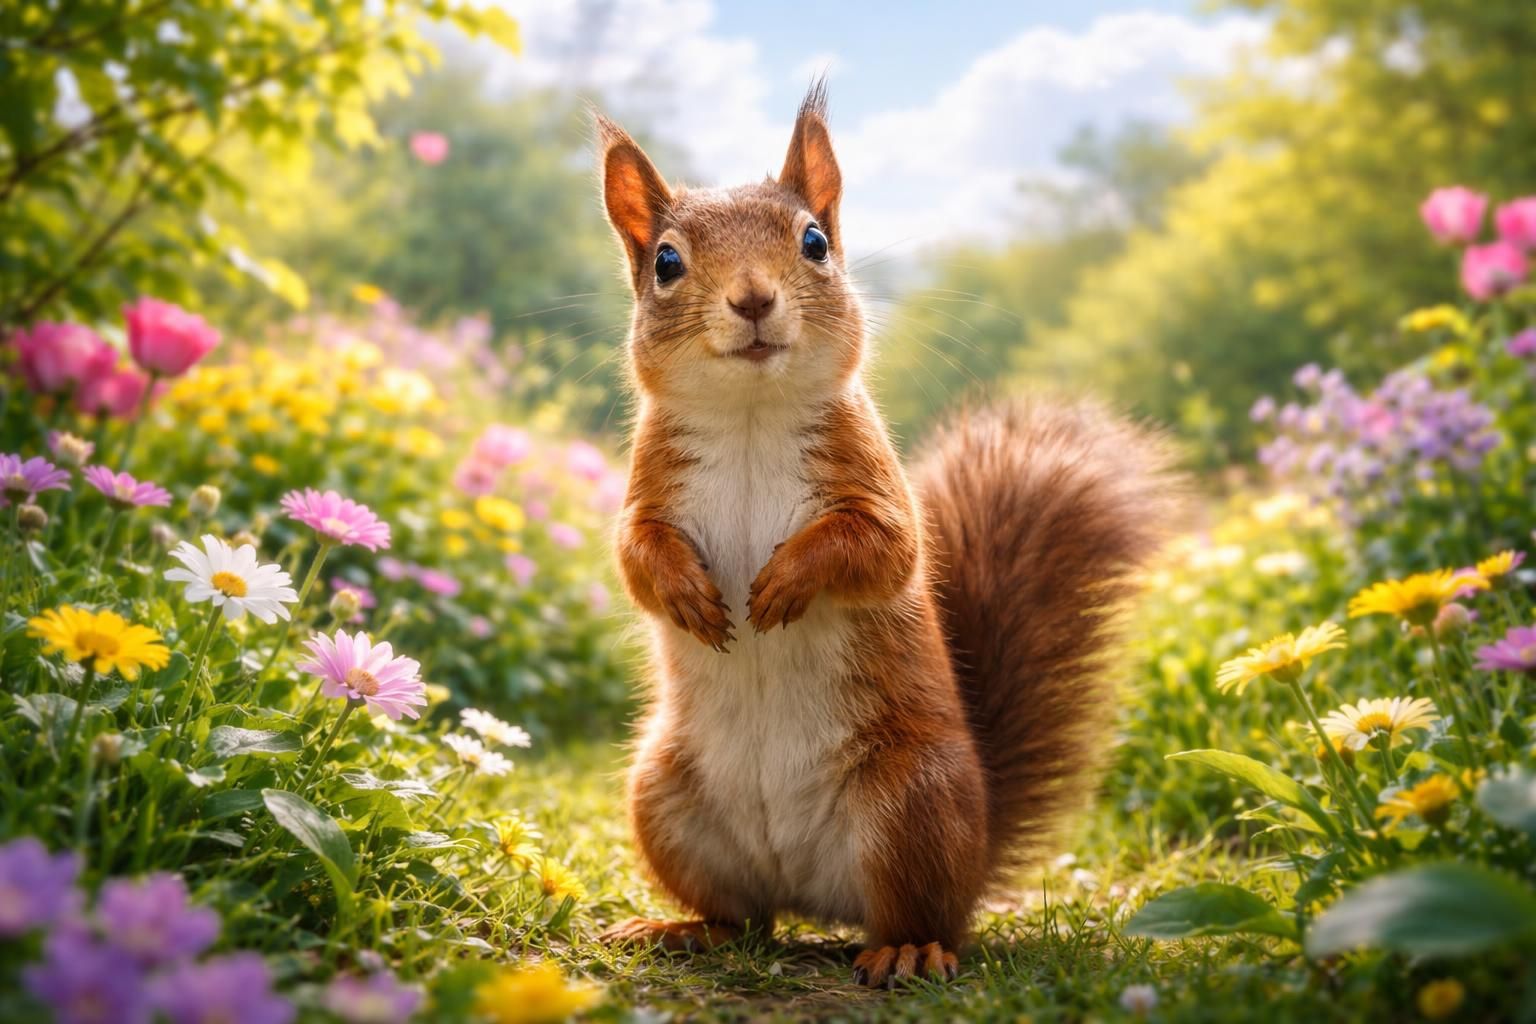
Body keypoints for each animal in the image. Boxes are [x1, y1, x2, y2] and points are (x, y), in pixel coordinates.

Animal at [593, 83, 1177, 988]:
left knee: (928, 916)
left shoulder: (875, 489)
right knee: (745, 918)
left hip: (913, 806)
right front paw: (689, 594)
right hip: (663, 799)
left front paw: (786, 583)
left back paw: (907, 948)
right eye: (664, 262)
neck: (751, 417)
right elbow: (635, 557)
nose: (753, 300)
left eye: (814, 241)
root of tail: (811, 893)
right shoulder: (648, 493)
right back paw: (683, 929)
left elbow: (879, 549)